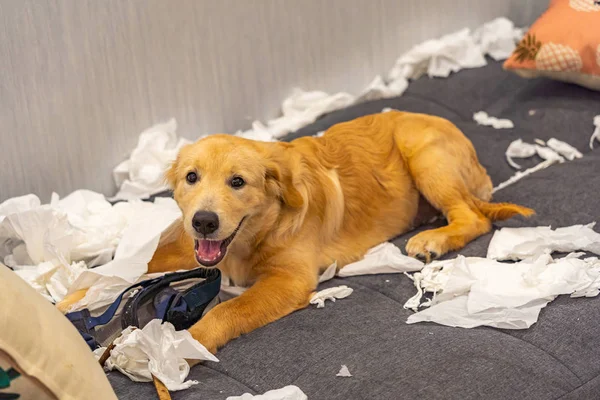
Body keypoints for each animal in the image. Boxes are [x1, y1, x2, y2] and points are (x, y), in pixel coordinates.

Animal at [58, 111, 532, 354]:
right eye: (191, 177)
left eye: (238, 182)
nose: (204, 221)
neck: (254, 235)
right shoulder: (181, 245)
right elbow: (117, 271)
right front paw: (67, 300)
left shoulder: (289, 278)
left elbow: (230, 309)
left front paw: (185, 344)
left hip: (425, 156)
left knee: (474, 218)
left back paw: (432, 238)